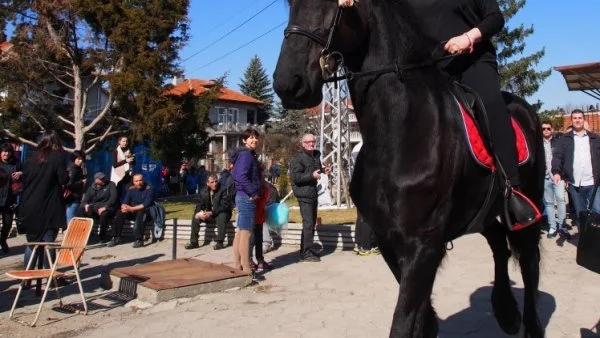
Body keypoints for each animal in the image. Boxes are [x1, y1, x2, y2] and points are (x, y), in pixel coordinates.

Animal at [276, 0, 544, 338]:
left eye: (336, 5)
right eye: (290, 5)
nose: (288, 83)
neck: (400, 130)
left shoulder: (423, 246)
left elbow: (403, 322)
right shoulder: (389, 241)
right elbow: (422, 321)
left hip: (529, 206)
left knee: (530, 265)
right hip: (481, 211)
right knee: (499, 243)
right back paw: (506, 311)